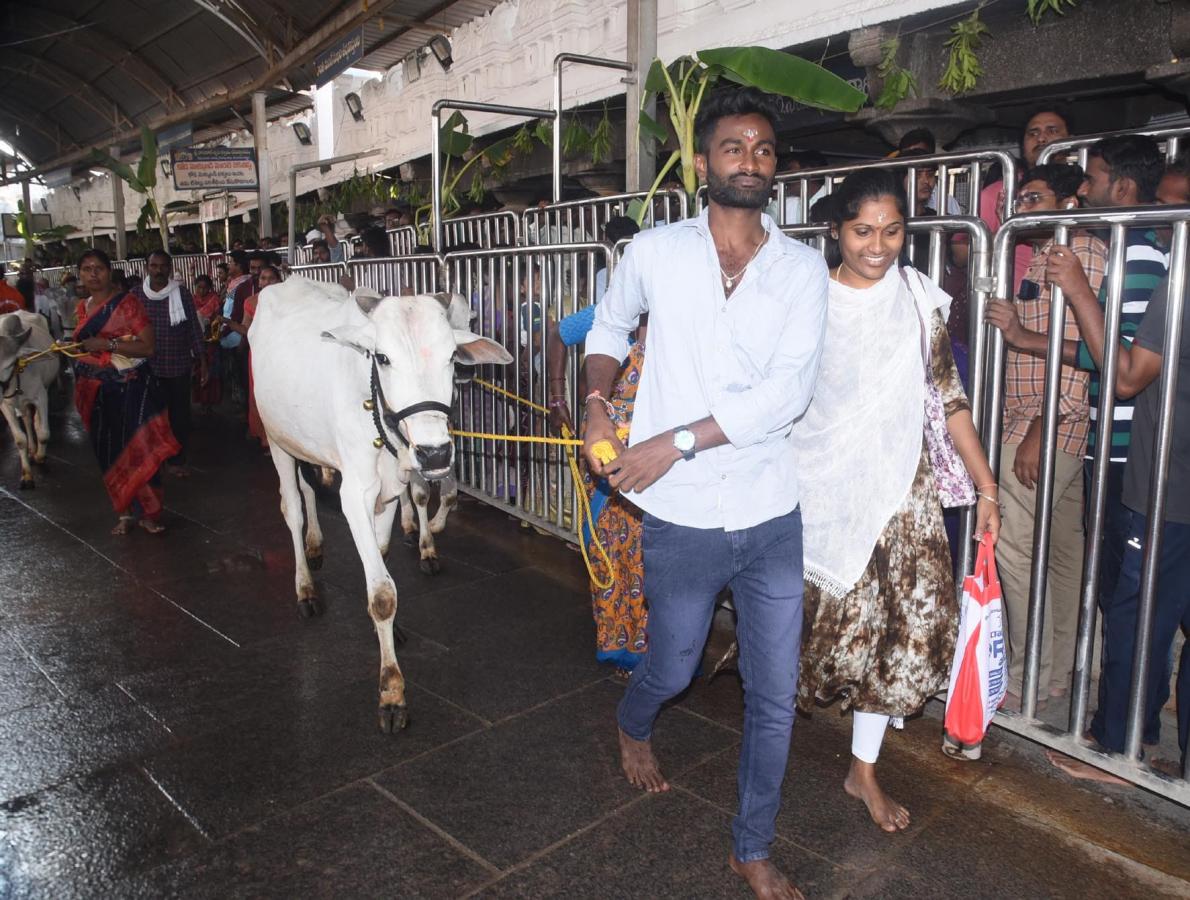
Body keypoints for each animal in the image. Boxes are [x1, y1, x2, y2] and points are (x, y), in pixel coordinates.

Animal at [0, 311, 58, 488]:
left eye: (9, 364)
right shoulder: (6, 405)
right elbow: (20, 440)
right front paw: (26, 475)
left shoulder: (41, 397)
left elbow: (44, 433)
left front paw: (40, 456)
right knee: (27, 419)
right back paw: (32, 449)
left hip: (46, 387)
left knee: (35, 420)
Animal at [248, 279, 509, 733]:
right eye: (383, 358)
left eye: (450, 356)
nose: (436, 453)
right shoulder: (355, 494)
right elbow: (383, 593)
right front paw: (391, 693)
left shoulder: (390, 491)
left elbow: (382, 559)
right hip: (276, 437)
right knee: (292, 507)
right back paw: (305, 587)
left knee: (310, 490)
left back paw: (316, 544)